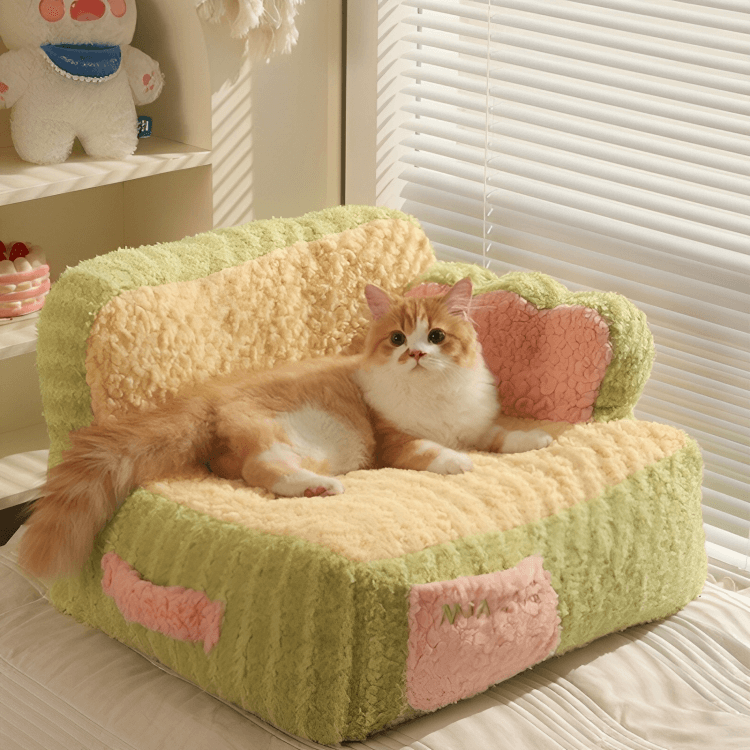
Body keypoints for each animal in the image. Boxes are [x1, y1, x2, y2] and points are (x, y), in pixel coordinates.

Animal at [19, 278, 552, 578]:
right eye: (399, 339)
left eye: (436, 336)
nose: (417, 354)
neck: (434, 396)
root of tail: (207, 398)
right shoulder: (392, 441)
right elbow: (433, 451)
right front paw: (461, 462)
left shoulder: (474, 423)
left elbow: (502, 436)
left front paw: (537, 438)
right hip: (303, 437)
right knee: (263, 469)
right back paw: (319, 488)